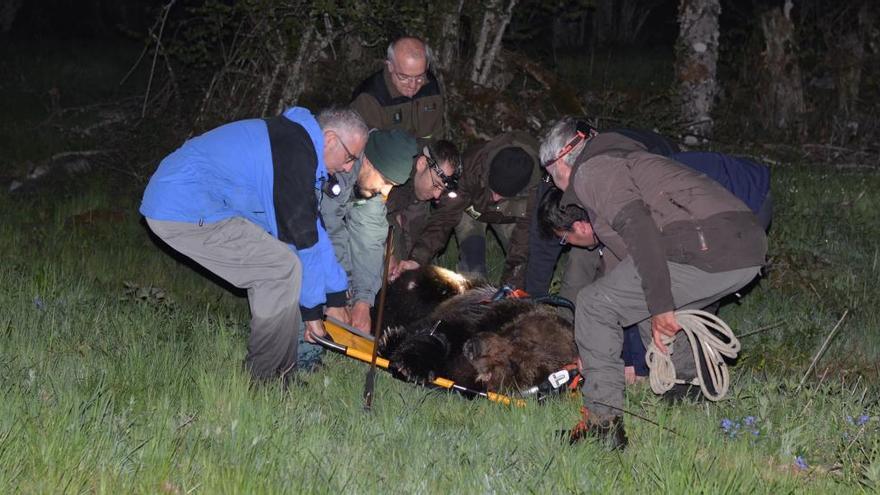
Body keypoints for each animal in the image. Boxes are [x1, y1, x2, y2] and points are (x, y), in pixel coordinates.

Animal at [376, 268, 576, 396]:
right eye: (515, 334)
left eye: (513, 364)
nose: (474, 347)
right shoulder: (483, 316)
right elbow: (440, 331)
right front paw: (411, 362)